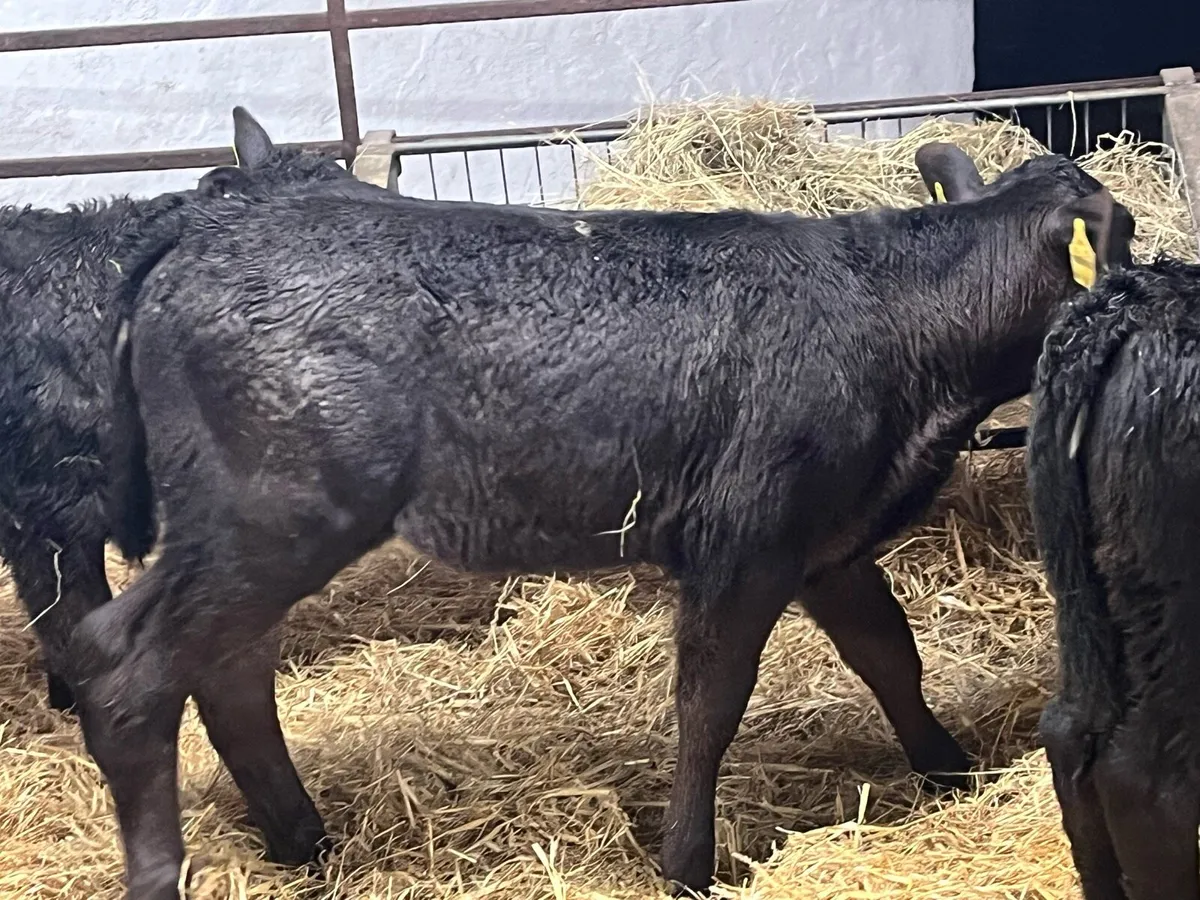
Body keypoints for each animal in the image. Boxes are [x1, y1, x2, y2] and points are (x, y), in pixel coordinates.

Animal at [71, 142, 1134, 900]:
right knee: (131, 671)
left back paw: (305, 844)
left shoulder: (825, 541)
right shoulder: (745, 543)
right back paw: (171, 874)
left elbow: (888, 653)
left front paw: (949, 774)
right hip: (276, 518)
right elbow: (710, 703)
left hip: (251, 531)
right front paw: (688, 865)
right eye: (1121, 231)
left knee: (218, 669)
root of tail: (199, 238)